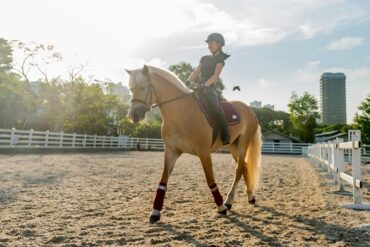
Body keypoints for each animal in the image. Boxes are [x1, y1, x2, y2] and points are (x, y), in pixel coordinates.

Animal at [125, 64, 262, 223]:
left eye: (143, 87)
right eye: (131, 89)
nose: (133, 115)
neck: (181, 113)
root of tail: (250, 110)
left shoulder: (204, 152)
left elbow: (210, 179)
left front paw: (221, 207)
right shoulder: (171, 151)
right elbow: (163, 180)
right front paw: (155, 212)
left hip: (243, 144)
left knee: (239, 170)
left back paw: (228, 201)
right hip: (233, 146)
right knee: (244, 167)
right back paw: (250, 197)